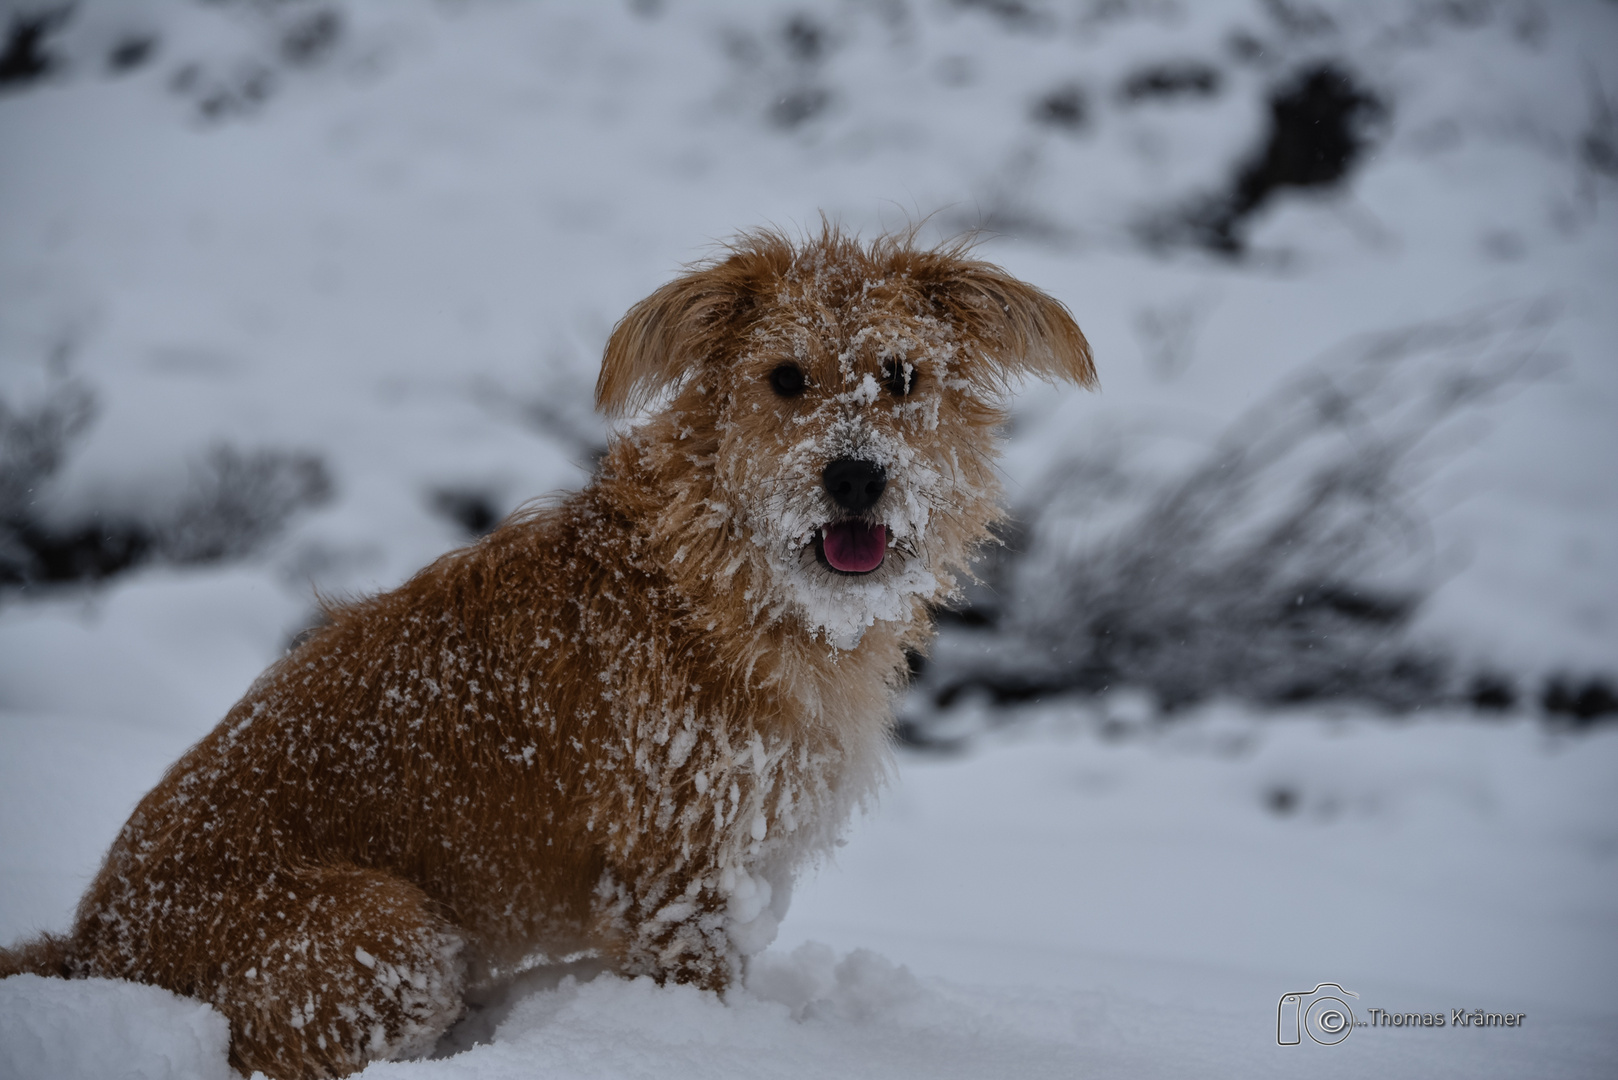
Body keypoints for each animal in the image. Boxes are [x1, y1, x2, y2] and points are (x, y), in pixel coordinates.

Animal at [0, 223, 1093, 1075]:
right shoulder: (675, 879)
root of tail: (92, 948)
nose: (857, 476)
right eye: (787, 379)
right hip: (390, 935)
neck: (711, 585)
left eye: (902, 377)